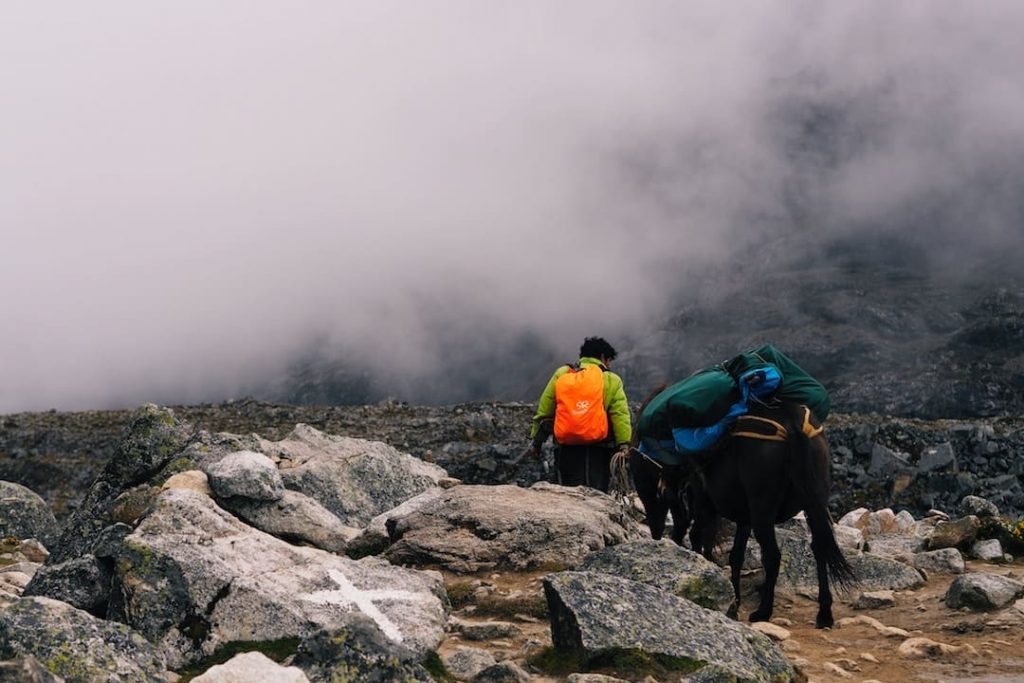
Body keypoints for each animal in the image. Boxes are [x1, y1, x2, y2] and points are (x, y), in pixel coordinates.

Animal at [630, 397, 856, 626]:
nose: (657, 534)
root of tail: (792, 423)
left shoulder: (704, 501)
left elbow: (702, 540)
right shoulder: (743, 517)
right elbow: (736, 555)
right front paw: (734, 601)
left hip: (762, 507)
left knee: (773, 556)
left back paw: (763, 611)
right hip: (813, 502)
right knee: (820, 547)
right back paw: (824, 613)